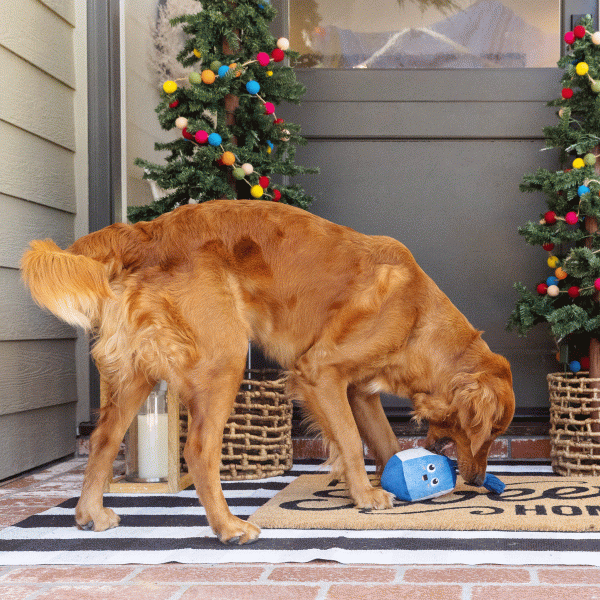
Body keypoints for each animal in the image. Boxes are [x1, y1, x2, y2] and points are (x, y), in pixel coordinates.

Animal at [21, 200, 512, 544]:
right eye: (489, 434)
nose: (476, 482)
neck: (416, 318)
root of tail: (146, 232)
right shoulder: (321, 372)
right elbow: (352, 443)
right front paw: (367, 496)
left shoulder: (359, 392)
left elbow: (386, 444)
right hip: (225, 358)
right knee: (198, 449)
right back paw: (228, 526)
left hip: (138, 374)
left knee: (104, 439)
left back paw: (89, 514)